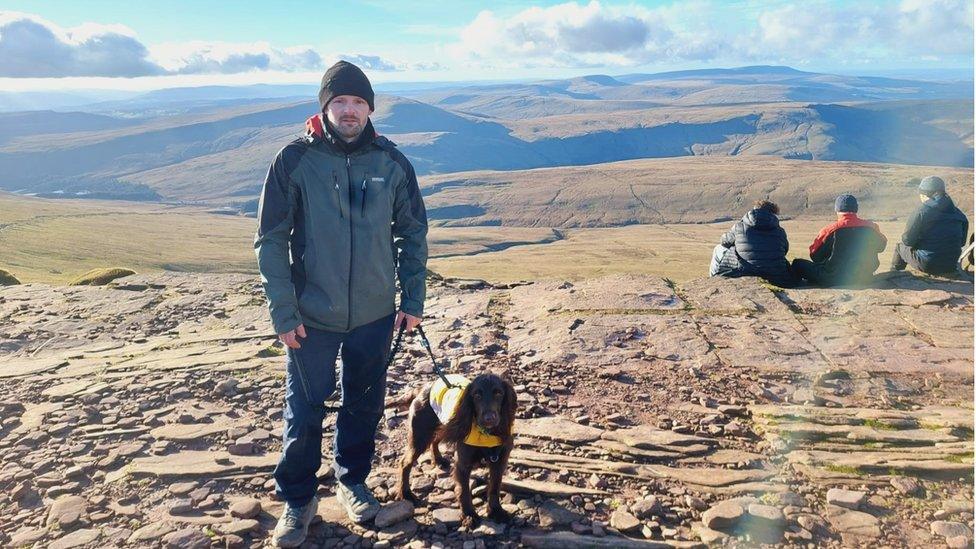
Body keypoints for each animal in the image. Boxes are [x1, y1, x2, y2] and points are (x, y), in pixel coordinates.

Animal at [396, 370, 520, 524]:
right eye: (476, 395)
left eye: (498, 393)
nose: (489, 418)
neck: (487, 434)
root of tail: (424, 387)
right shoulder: (462, 464)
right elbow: (464, 491)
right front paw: (469, 514)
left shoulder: (500, 462)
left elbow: (494, 487)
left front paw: (496, 510)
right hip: (420, 437)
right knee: (405, 462)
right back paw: (406, 493)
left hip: (446, 426)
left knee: (434, 441)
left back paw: (438, 460)